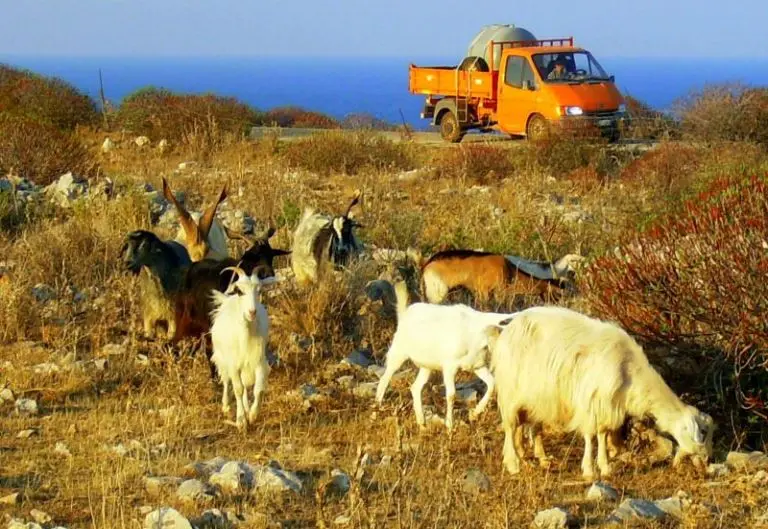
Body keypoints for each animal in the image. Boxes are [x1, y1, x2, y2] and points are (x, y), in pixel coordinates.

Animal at [208, 264, 274, 428]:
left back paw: (246, 407)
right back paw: (226, 406)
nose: (252, 312)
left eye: (259, 290)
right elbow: (237, 389)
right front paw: (241, 420)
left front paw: (252, 415)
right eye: (240, 291)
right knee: (227, 381)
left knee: (245, 387)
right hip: (223, 359)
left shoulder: (258, 361)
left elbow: (258, 389)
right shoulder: (233, 364)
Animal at [376, 280, 520, 428]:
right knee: (385, 377)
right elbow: (451, 394)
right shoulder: (450, 366)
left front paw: (474, 414)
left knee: (416, 387)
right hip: (398, 353)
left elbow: (491, 384)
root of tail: (404, 313)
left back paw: (421, 423)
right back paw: (379, 406)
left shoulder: (477, 365)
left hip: (426, 366)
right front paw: (450, 424)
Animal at [486, 306, 712, 478]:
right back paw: (513, 463)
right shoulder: (592, 402)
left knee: (525, 426)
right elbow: (590, 435)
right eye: (702, 432)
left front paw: (604, 467)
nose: (708, 461)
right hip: (511, 392)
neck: (630, 371)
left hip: (535, 398)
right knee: (510, 427)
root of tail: (504, 332)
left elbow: (602, 435)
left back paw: (535, 458)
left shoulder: (608, 406)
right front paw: (589, 469)